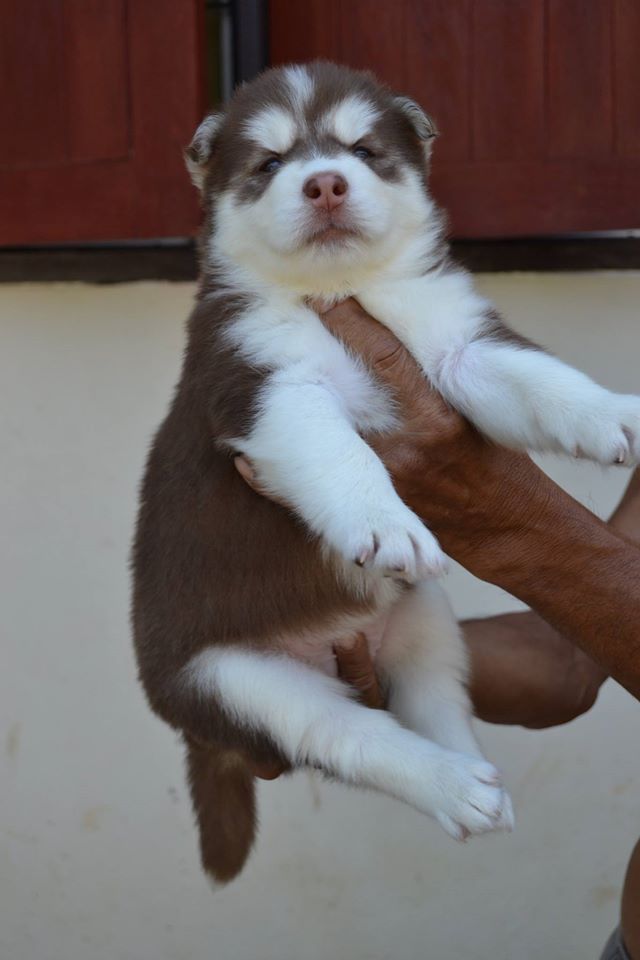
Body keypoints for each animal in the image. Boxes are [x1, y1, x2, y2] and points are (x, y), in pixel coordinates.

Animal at [132, 61, 640, 884]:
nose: (324, 184)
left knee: (436, 698)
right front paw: (385, 521)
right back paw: (449, 784)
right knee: (348, 736)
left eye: (363, 151)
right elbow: (342, 451)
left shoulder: (458, 342)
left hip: (421, 612)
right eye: (270, 163)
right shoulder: (268, 382)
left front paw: (617, 412)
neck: (348, 290)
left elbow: (541, 379)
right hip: (237, 681)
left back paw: (473, 777)